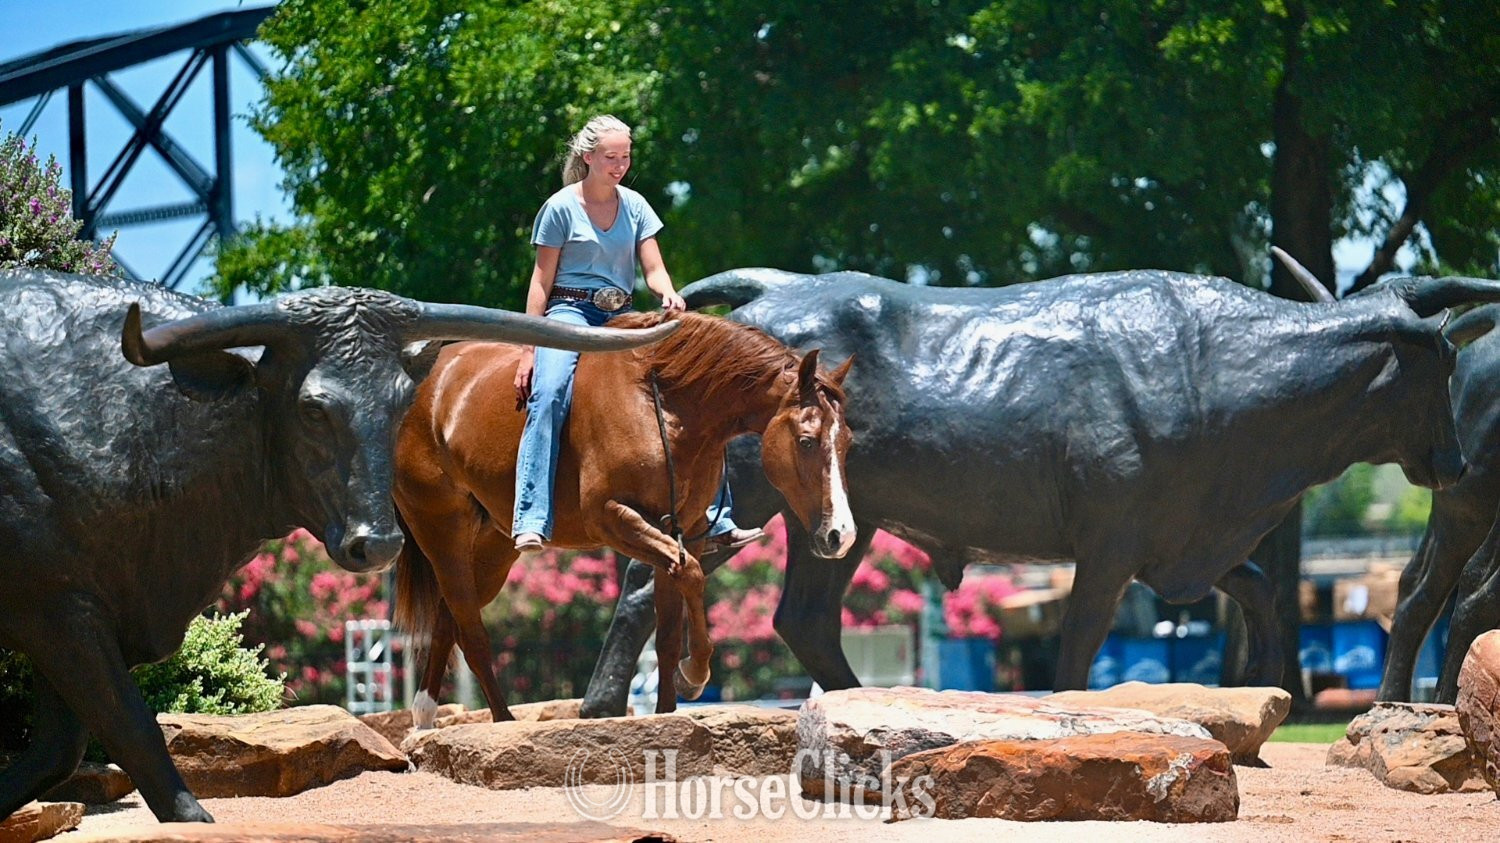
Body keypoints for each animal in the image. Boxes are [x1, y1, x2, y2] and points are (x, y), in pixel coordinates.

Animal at [392, 311, 855, 722]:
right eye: (807, 440)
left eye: (847, 441)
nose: (841, 535)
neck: (663, 404)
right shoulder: (612, 518)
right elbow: (691, 575)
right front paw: (694, 675)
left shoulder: (679, 531)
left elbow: (668, 628)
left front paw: (667, 710)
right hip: (442, 530)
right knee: (469, 627)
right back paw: (500, 720)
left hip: (495, 547)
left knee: (450, 616)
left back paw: (425, 716)